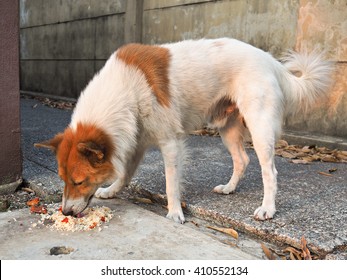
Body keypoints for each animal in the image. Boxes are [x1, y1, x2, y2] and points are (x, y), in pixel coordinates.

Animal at [36, 38, 334, 224]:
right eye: (62, 179)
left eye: (79, 181)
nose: (65, 211)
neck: (124, 89)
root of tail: (271, 61)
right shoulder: (136, 142)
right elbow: (125, 174)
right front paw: (111, 191)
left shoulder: (171, 143)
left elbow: (171, 184)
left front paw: (175, 213)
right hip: (227, 128)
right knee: (242, 159)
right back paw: (229, 188)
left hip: (259, 126)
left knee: (268, 171)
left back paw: (267, 209)